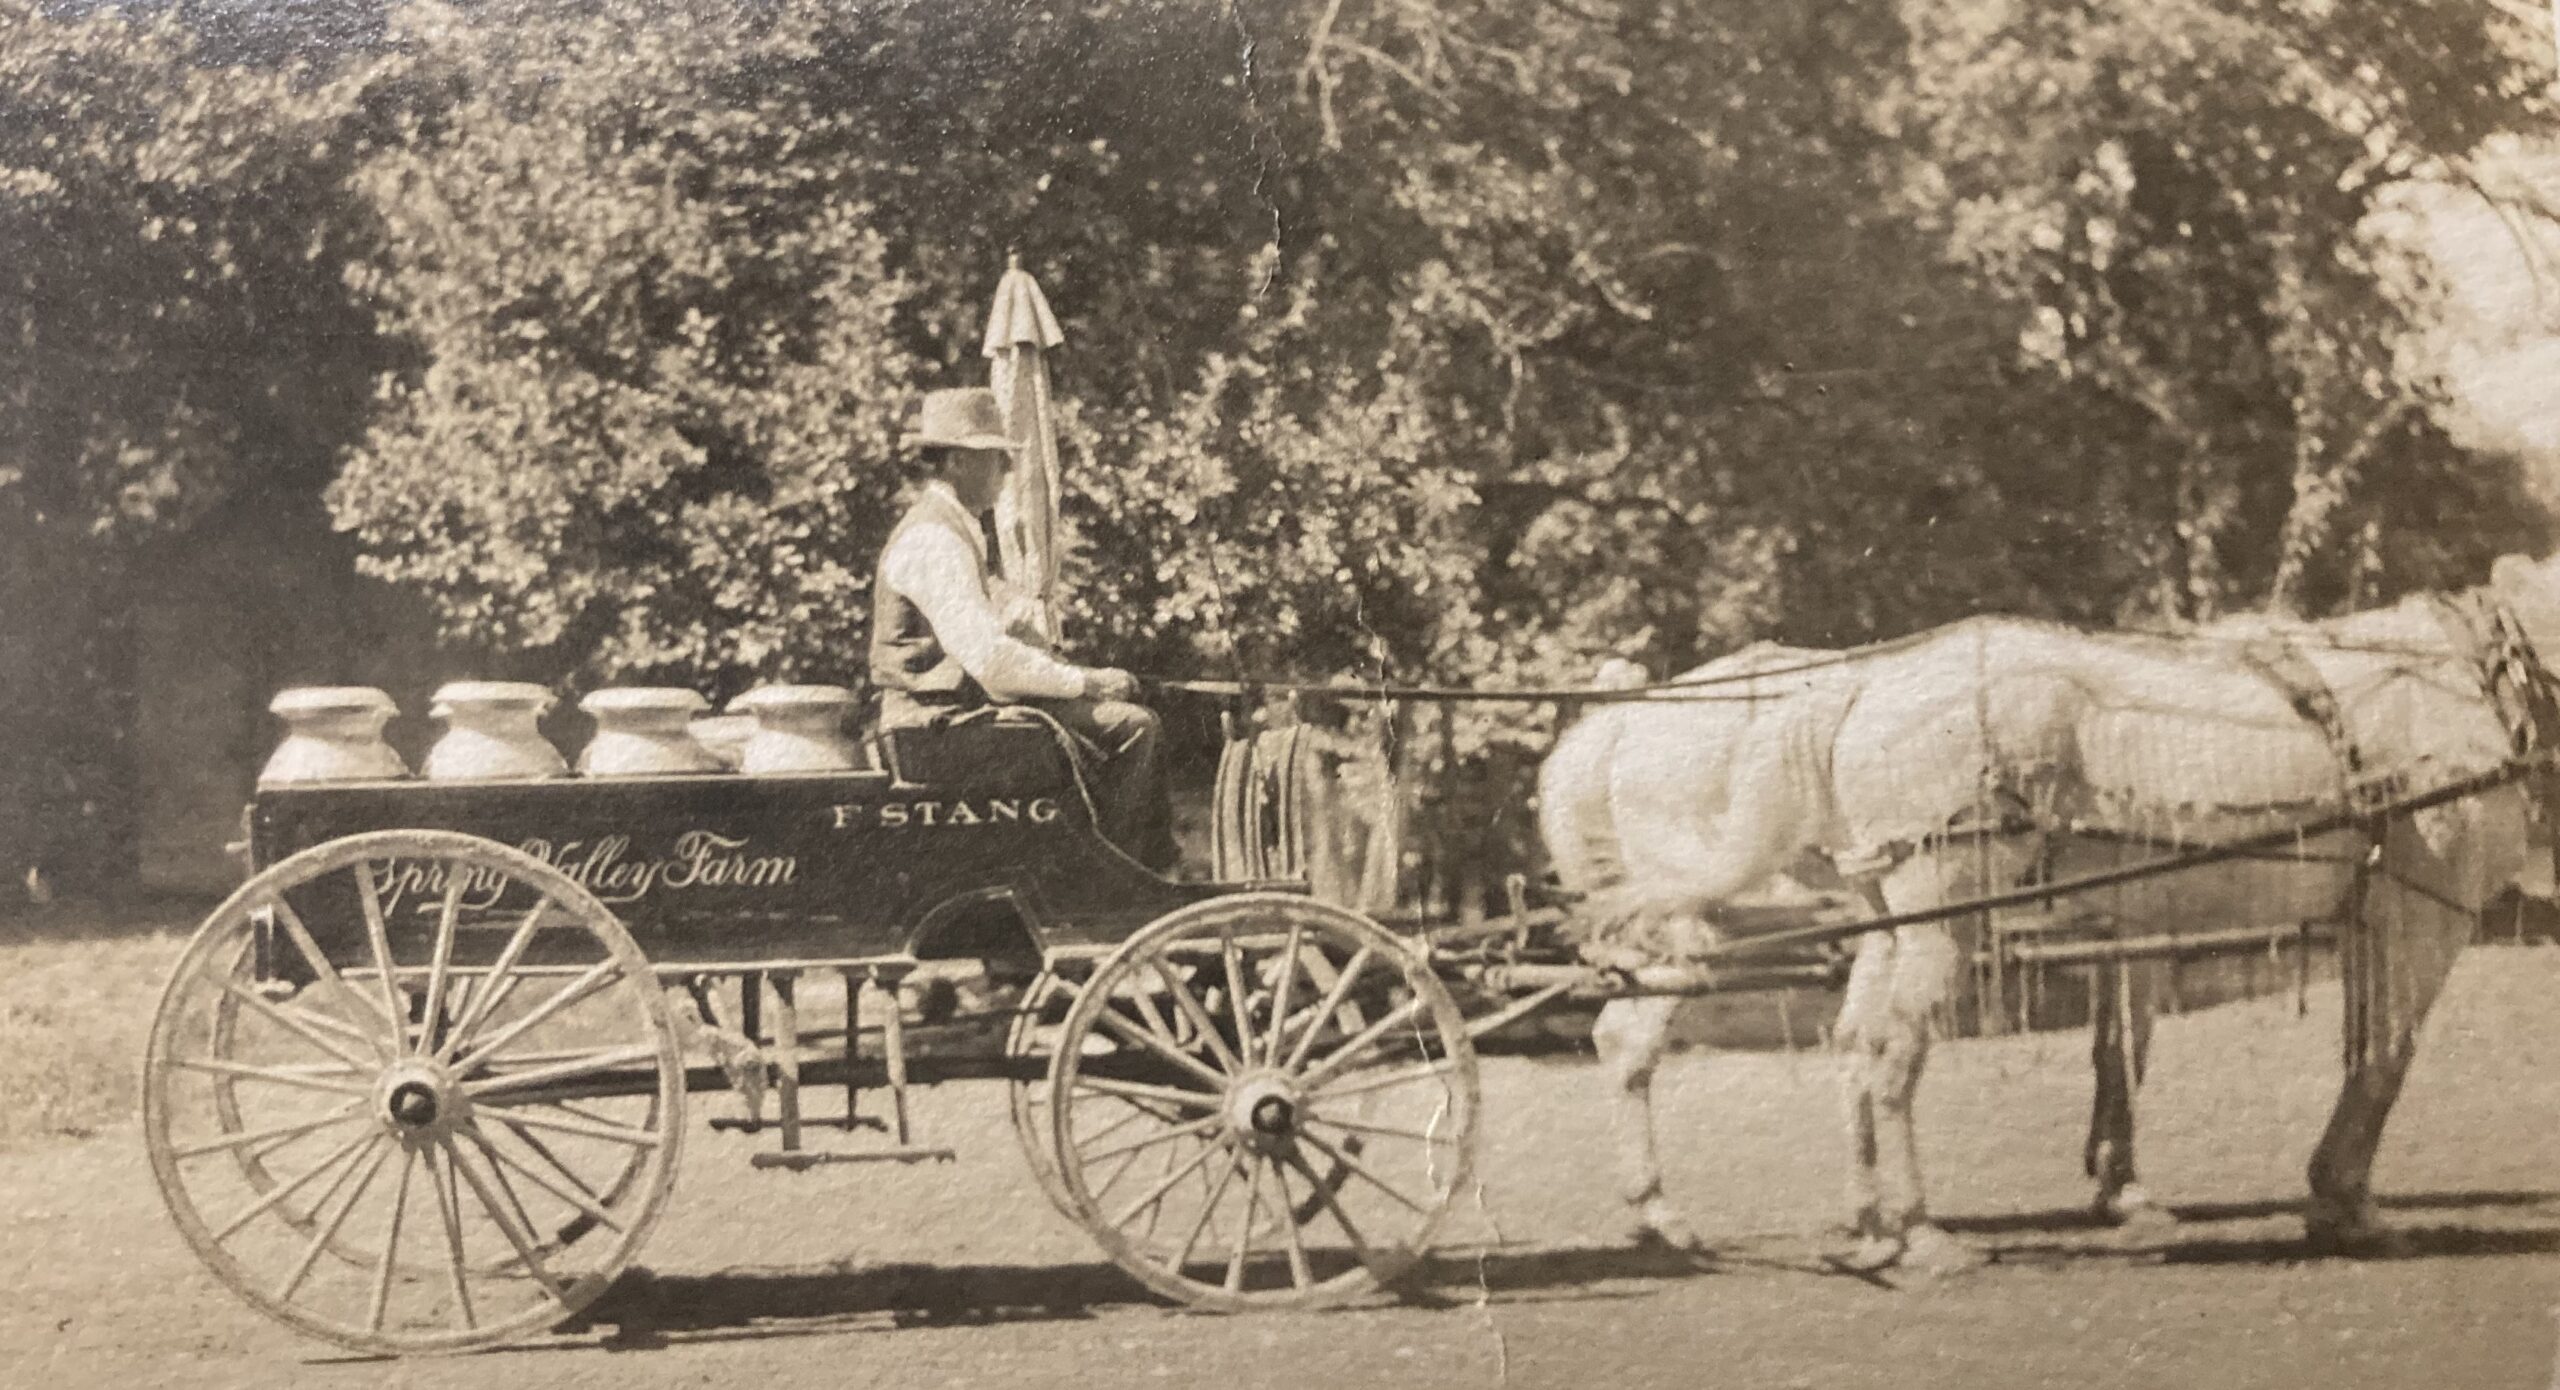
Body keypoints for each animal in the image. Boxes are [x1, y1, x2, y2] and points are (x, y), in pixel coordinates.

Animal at [1537, 552, 2560, 1273]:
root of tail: (1854, 689)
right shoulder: (2419, 913)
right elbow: (2382, 1058)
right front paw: (2342, 1205)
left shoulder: (2147, 925)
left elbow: (2128, 1051)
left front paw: (2127, 1190)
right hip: (1873, 917)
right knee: (1857, 1047)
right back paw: (1905, 1233)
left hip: (1871, 915)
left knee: (1842, 1042)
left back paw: (1856, 1225)